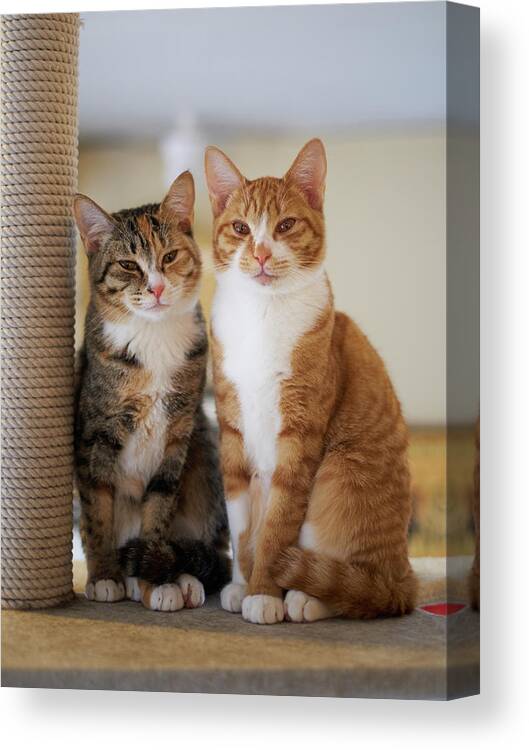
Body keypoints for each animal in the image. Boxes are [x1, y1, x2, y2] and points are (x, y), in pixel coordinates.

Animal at [73, 173, 229, 612]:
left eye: (170, 256)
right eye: (128, 265)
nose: (157, 288)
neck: (154, 338)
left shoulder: (178, 432)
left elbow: (159, 510)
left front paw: (156, 580)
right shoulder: (95, 434)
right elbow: (98, 512)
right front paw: (105, 575)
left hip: (205, 451)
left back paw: (183, 578)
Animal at [205, 138, 416, 624]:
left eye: (285, 225)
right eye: (241, 228)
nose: (262, 254)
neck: (262, 316)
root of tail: (403, 577)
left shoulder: (300, 437)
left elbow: (276, 527)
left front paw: (263, 593)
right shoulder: (232, 433)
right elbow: (241, 524)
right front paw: (241, 584)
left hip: (339, 473)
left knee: (356, 590)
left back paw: (305, 598)